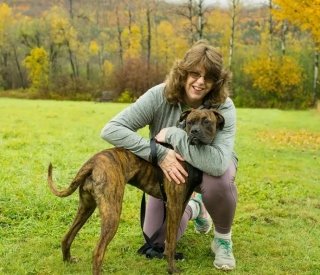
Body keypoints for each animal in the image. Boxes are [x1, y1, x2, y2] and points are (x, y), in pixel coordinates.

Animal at [47, 109, 224, 274]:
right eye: (190, 122)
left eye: (206, 121)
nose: (194, 131)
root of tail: (92, 162)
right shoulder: (174, 205)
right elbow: (171, 242)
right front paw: (172, 269)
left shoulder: (179, 205)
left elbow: (170, 238)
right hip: (112, 213)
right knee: (97, 252)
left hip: (86, 207)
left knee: (67, 237)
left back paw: (68, 260)